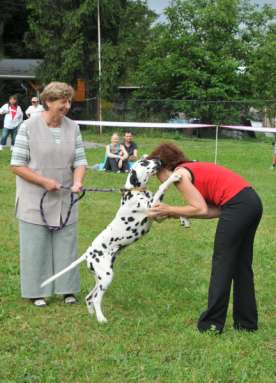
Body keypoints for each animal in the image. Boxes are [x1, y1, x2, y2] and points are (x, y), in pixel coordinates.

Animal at [41, 159, 190, 324]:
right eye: (144, 162)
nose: (159, 160)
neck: (136, 191)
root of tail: (88, 254)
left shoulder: (157, 215)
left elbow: (171, 211)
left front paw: (184, 219)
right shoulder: (151, 207)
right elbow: (162, 186)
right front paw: (174, 177)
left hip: (101, 278)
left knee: (89, 297)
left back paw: (93, 316)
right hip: (106, 276)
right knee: (96, 299)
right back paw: (101, 319)